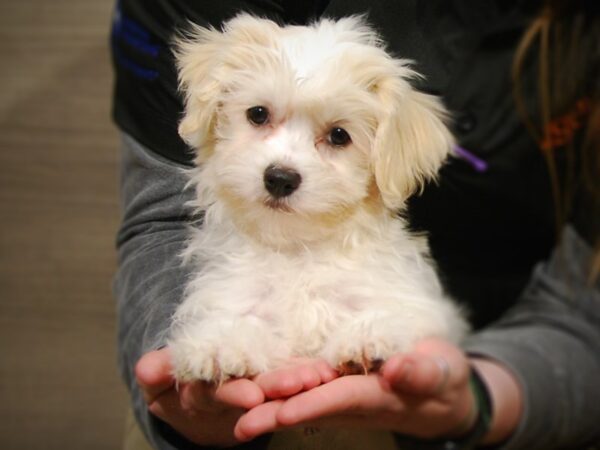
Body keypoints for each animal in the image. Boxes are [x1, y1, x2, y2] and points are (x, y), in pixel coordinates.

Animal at [169, 14, 468, 384]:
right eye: (258, 114)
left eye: (339, 135)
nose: (280, 178)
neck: (297, 251)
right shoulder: (235, 296)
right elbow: (242, 322)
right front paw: (220, 346)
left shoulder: (406, 299)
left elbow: (397, 314)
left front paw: (368, 337)